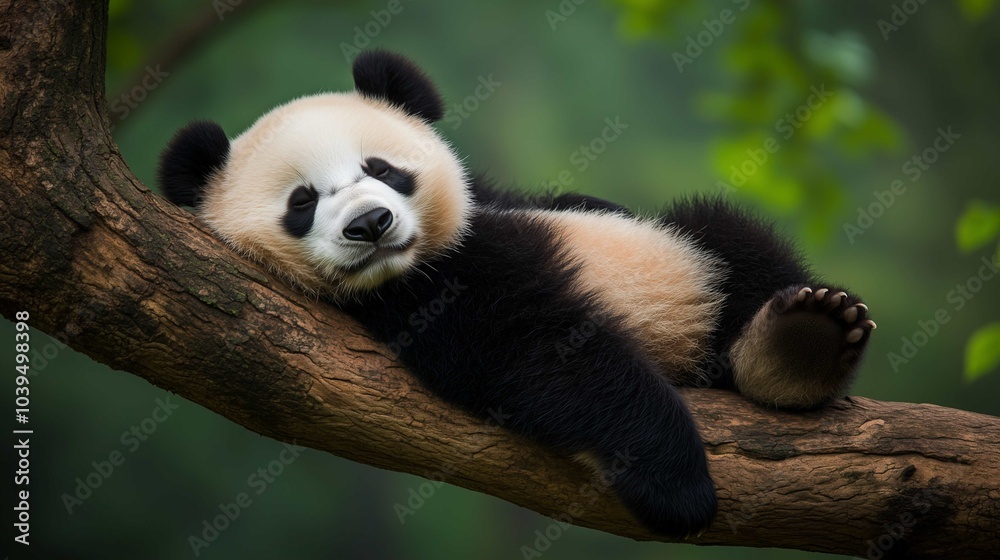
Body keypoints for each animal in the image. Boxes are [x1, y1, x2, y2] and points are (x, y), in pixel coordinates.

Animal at [157, 50, 875, 538]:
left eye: (382, 169)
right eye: (302, 202)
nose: (371, 223)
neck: (426, 259)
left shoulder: (501, 205)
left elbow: (580, 208)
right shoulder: (427, 302)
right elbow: (542, 348)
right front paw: (677, 482)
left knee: (725, 238)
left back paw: (801, 341)